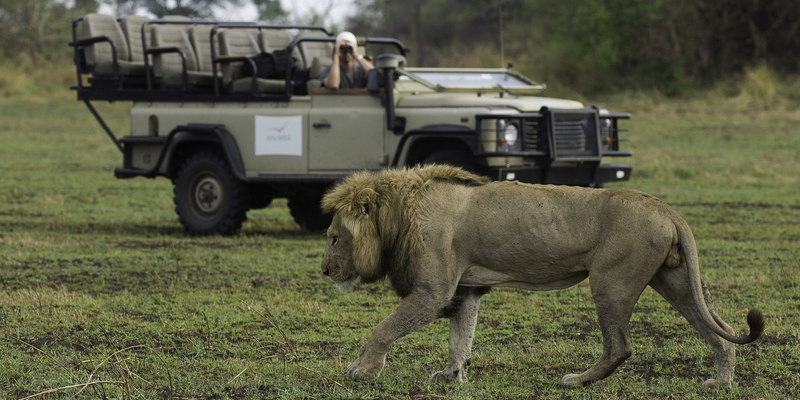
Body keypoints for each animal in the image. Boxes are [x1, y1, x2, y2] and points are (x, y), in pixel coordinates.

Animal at [318, 165, 764, 388]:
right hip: (676, 281)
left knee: (620, 345)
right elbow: (460, 338)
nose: (324, 270)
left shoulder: (433, 291)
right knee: (721, 332)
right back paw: (721, 382)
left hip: (610, 280)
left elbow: (384, 328)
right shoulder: (465, 289)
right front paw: (452, 376)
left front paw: (362, 371)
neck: (398, 213)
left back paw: (578, 381)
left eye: (334, 238)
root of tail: (668, 209)